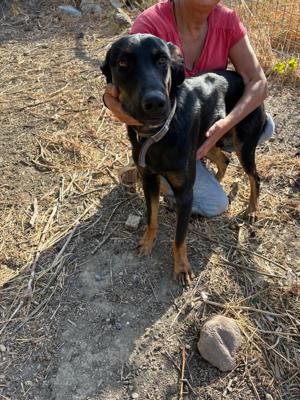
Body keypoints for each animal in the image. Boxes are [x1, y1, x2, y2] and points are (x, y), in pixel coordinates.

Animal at [102, 33, 266, 284]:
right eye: (123, 63)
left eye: (162, 60)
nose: (155, 103)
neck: (160, 133)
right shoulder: (149, 180)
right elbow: (151, 217)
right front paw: (147, 242)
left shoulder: (185, 193)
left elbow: (179, 237)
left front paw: (181, 268)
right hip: (207, 138)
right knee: (223, 161)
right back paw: (218, 182)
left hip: (244, 145)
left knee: (254, 177)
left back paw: (253, 210)